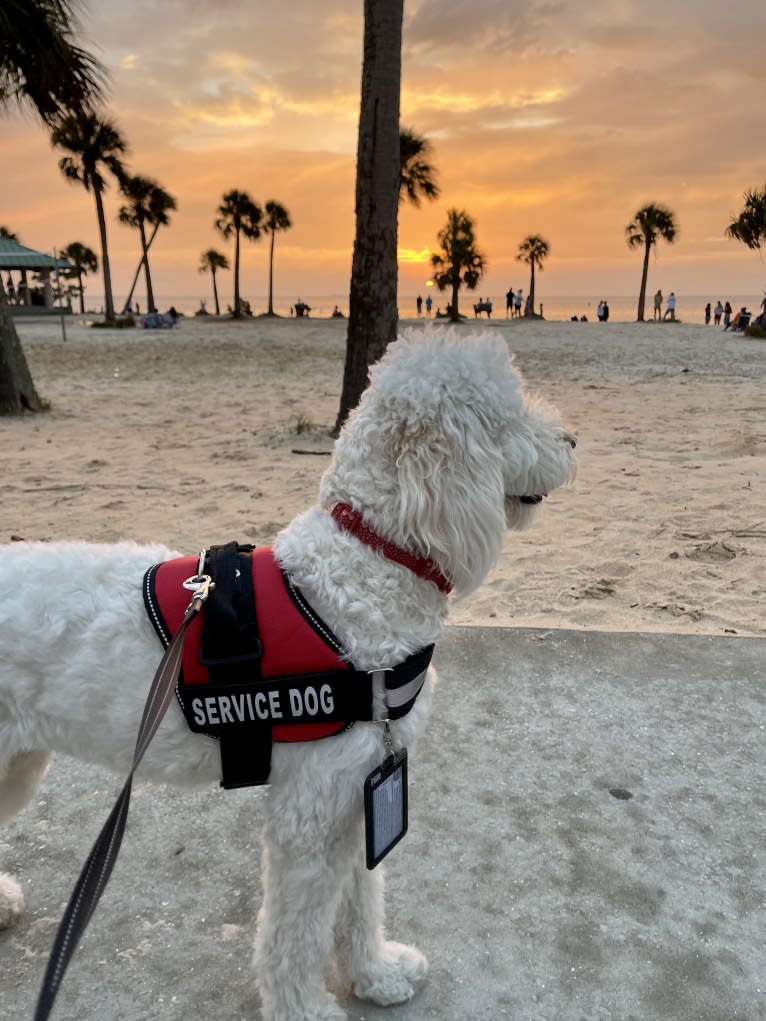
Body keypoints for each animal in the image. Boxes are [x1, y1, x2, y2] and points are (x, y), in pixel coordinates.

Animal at [0, 328, 576, 1021]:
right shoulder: (311, 811)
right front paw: (304, 1008)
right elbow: (295, 931)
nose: (573, 440)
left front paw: (375, 975)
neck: (364, 562)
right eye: (510, 415)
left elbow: (362, 899)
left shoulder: (357, 794)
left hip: (16, 764)